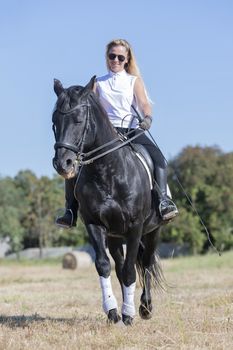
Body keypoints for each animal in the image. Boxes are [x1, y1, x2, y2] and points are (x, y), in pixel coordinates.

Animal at [52, 76, 167, 326]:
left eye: (78, 120)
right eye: (54, 121)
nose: (63, 164)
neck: (108, 171)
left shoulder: (135, 227)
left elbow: (132, 270)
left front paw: (130, 313)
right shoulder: (94, 224)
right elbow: (104, 266)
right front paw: (113, 311)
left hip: (152, 231)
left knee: (146, 263)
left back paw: (145, 307)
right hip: (115, 237)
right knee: (121, 267)